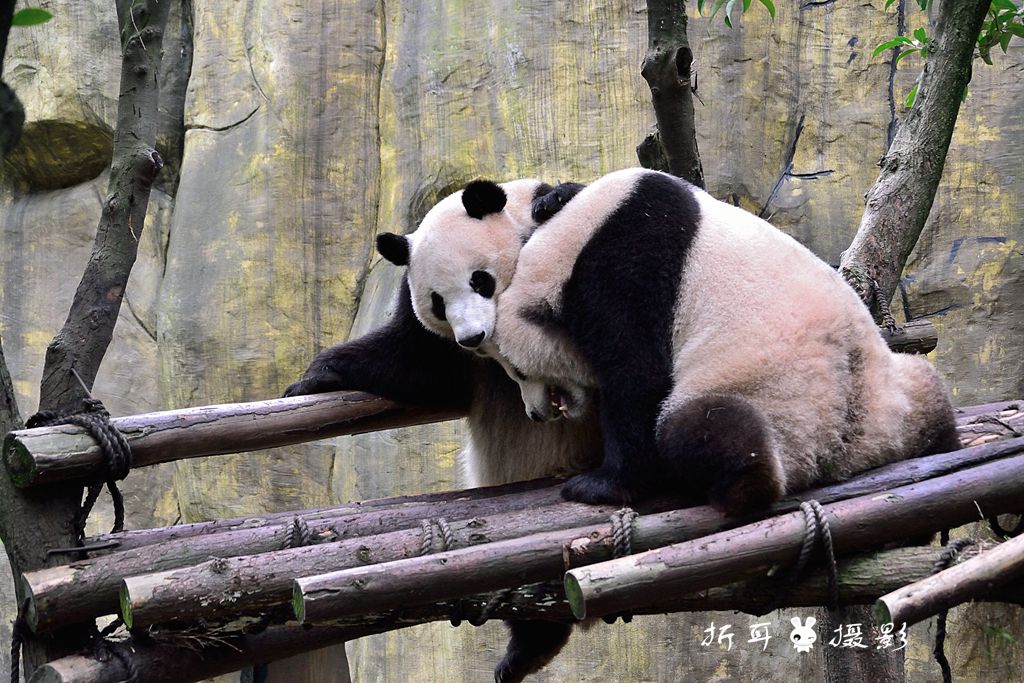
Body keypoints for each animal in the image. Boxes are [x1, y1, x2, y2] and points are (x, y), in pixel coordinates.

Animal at [282, 178, 598, 683]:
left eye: (479, 280)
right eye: (438, 303)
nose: (472, 337)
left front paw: (556, 201)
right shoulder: (429, 337)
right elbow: (417, 363)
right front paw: (315, 377)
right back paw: (527, 649)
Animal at [487, 167, 958, 511]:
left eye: (518, 371)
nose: (534, 414)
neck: (573, 239)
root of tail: (846, 449)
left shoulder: (623, 274)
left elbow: (637, 379)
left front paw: (599, 485)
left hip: (771, 399)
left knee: (704, 429)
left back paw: (739, 486)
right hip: (888, 389)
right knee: (924, 387)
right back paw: (942, 433)